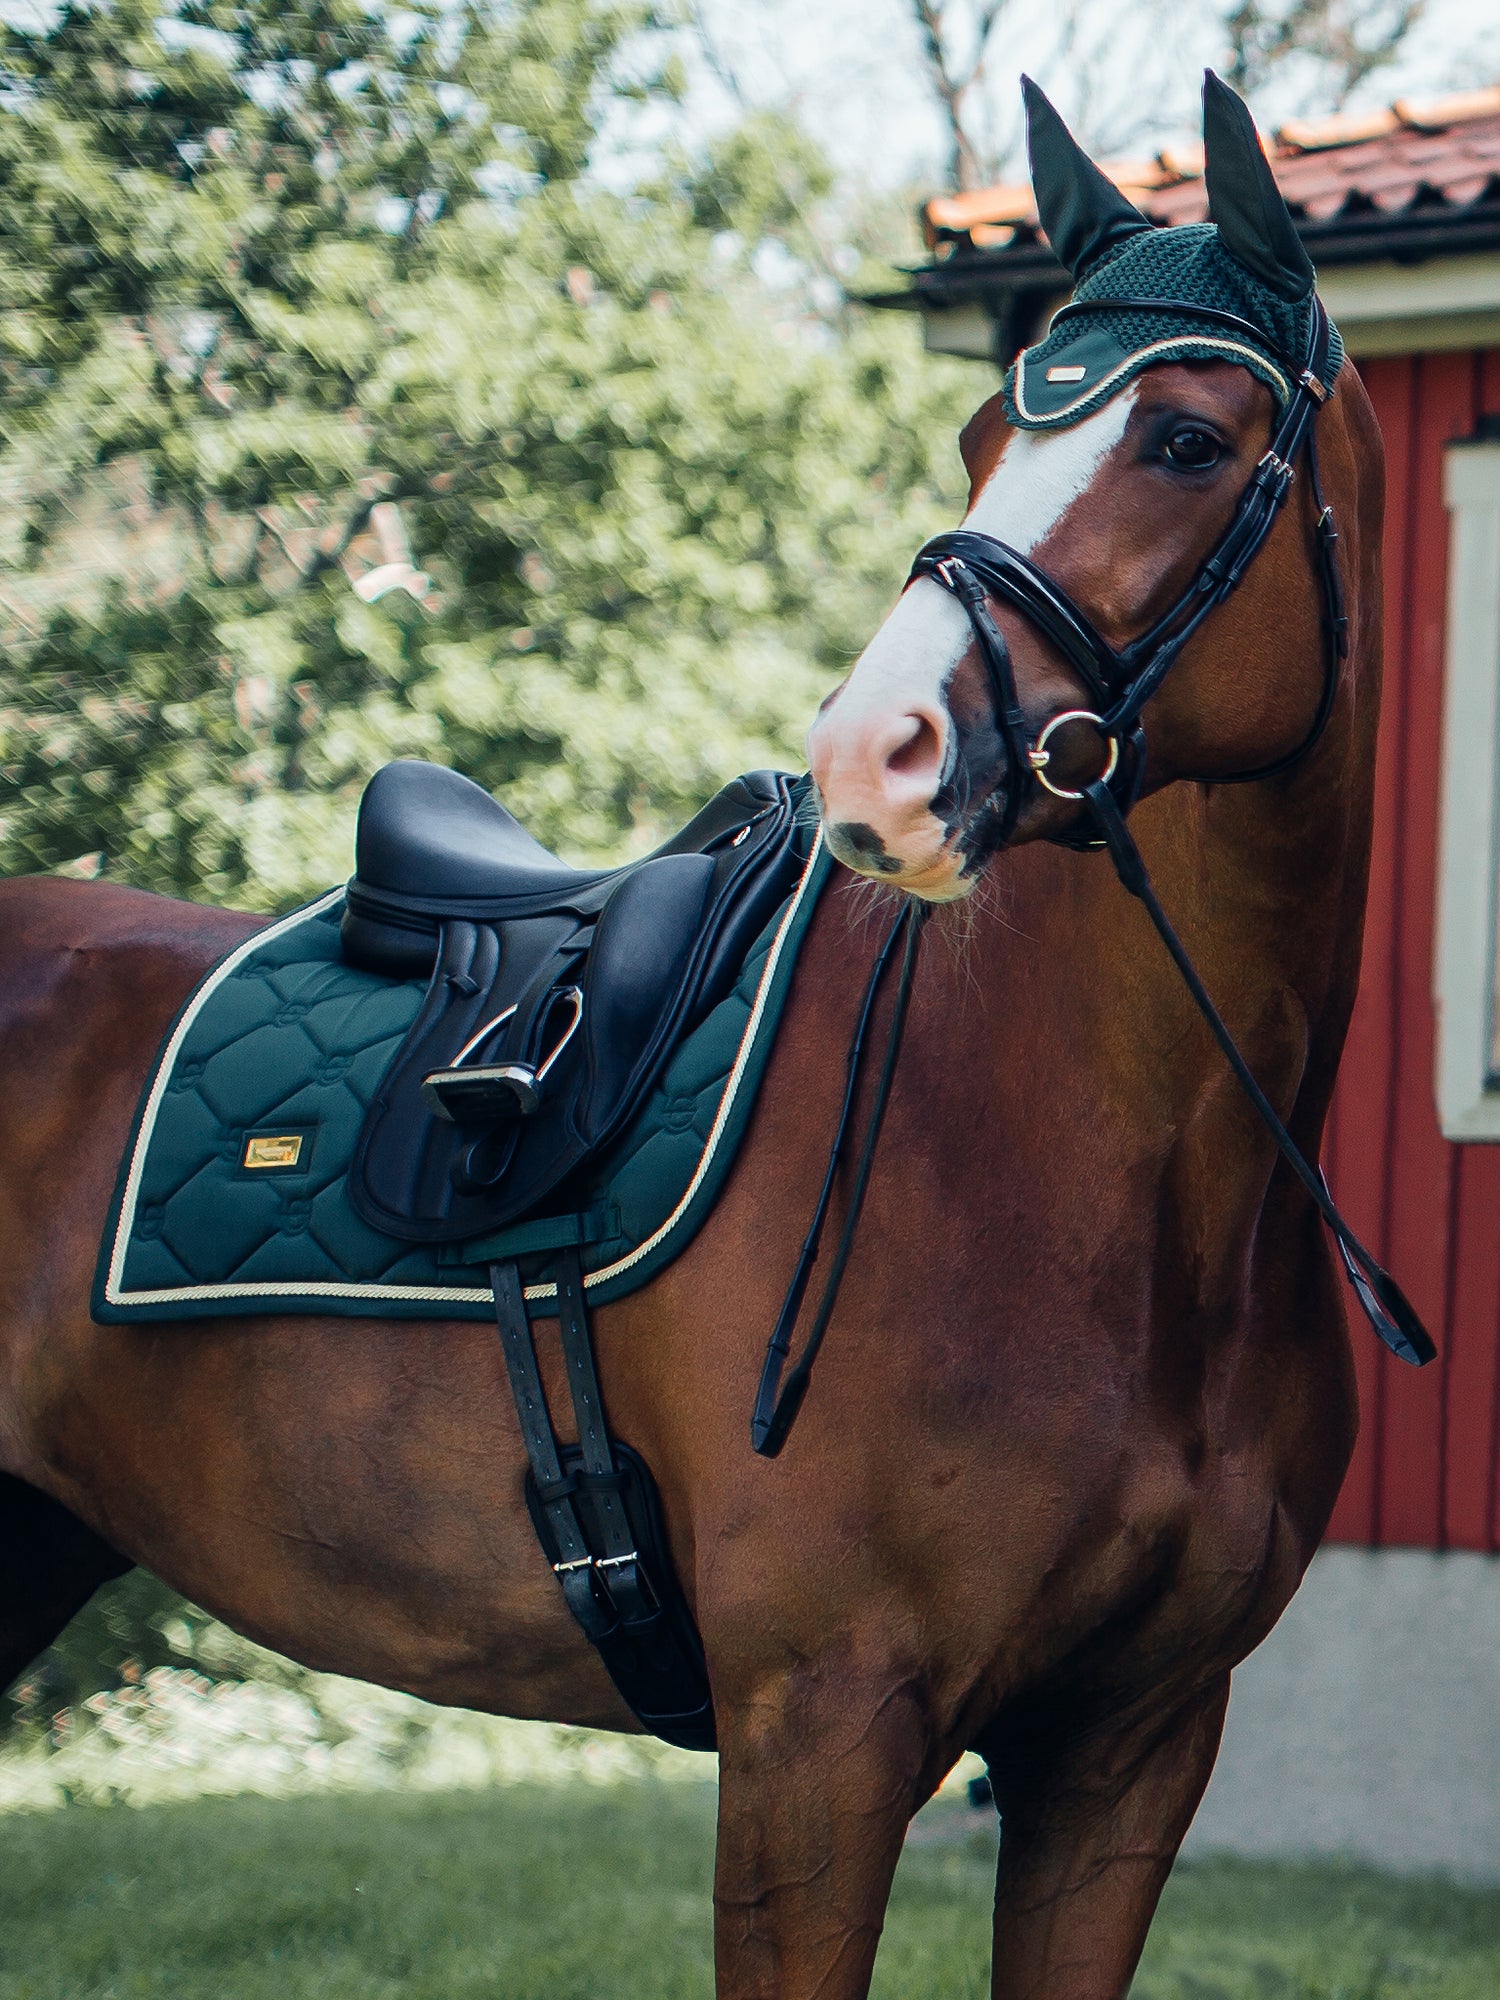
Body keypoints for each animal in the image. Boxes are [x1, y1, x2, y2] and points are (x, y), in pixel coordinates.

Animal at [2, 78, 1400, 2000]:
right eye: (986, 428)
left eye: (1189, 439)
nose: (873, 751)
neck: (1107, 1183)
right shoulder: (823, 1733)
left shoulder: (1131, 1752)